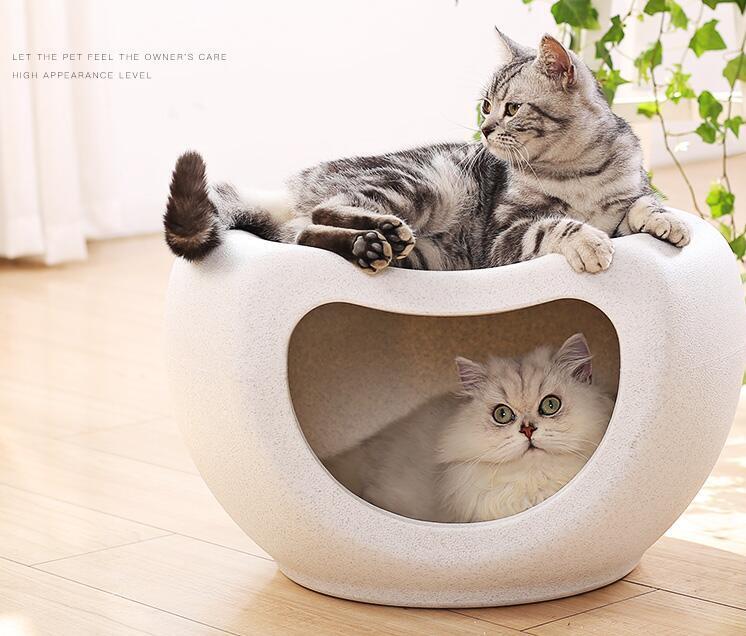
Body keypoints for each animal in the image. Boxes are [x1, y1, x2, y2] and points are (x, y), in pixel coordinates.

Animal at [163, 30, 684, 270]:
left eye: (512, 107)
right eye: (485, 105)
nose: (485, 130)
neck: (578, 171)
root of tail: (284, 190)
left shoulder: (625, 198)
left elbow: (641, 204)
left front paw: (668, 221)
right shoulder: (503, 235)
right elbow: (554, 225)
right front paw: (586, 241)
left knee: (304, 235)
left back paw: (371, 246)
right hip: (420, 185)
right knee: (322, 215)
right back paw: (378, 234)